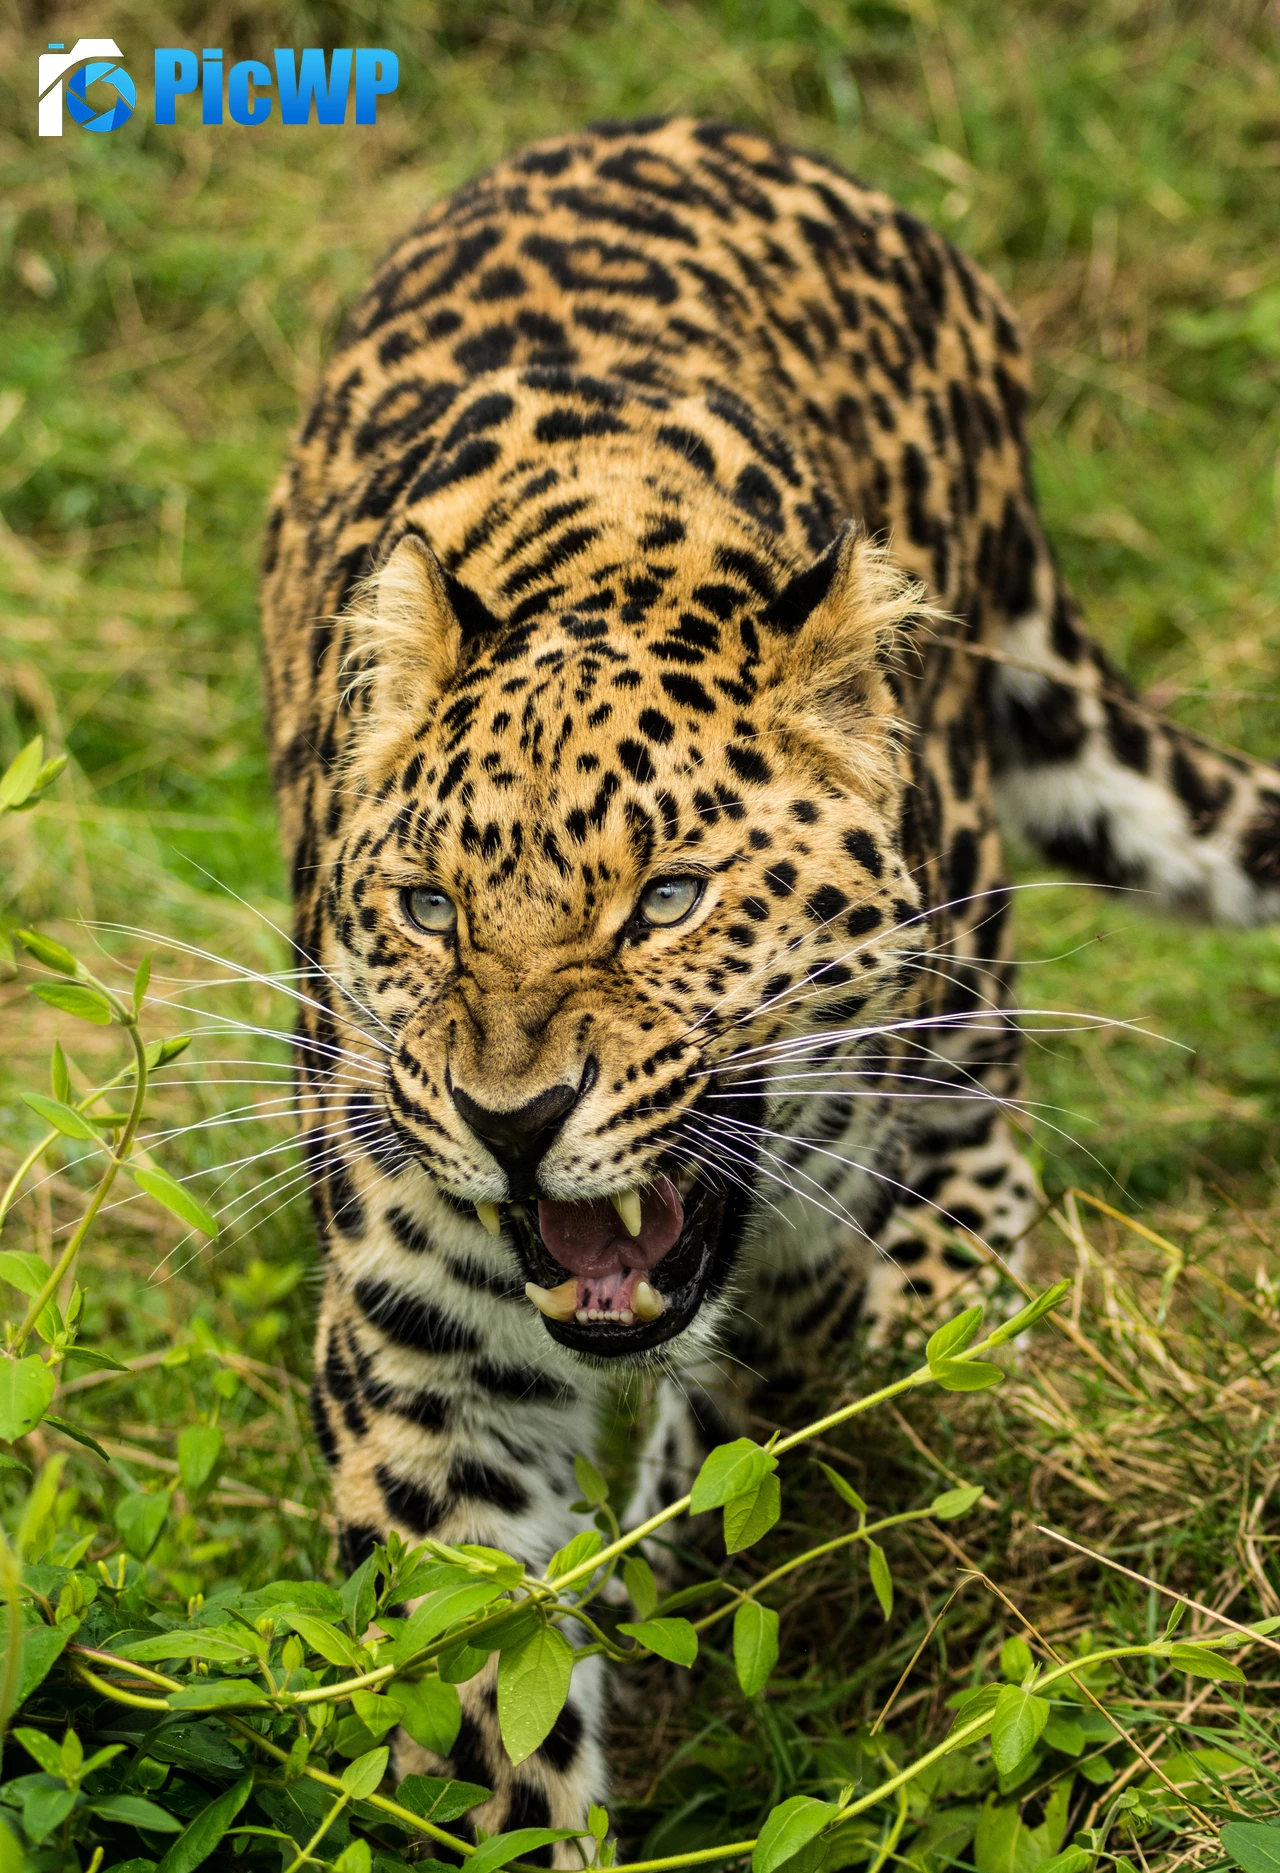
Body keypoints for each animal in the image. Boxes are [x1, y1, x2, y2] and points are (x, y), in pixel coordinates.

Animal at [260, 117, 1280, 1850]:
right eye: (428, 910)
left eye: (668, 900)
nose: (510, 1119)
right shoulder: (423, 1358)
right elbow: (477, 1706)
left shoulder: (799, 1240)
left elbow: (753, 1418)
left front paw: (676, 1582)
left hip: (966, 907)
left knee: (983, 1112)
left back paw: (948, 1337)